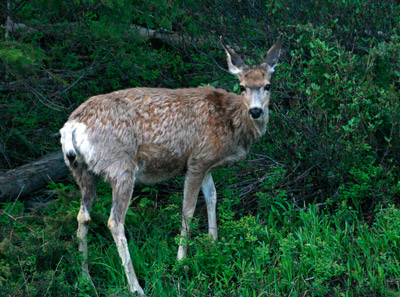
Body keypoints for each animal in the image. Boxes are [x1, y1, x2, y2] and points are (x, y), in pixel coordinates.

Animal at [59, 36, 282, 294]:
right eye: (243, 86)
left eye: (268, 85)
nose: (255, 111)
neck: (230, 124)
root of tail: (72, 126)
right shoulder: (197, 160)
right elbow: (188, 210)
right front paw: (181, 261)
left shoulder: (205, 163)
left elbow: (212, 197)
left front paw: (213, 244)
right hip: (121, 166)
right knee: (115, 221)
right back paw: (135, 286)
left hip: (81, 170)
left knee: (82, 216)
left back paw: (84, 278)